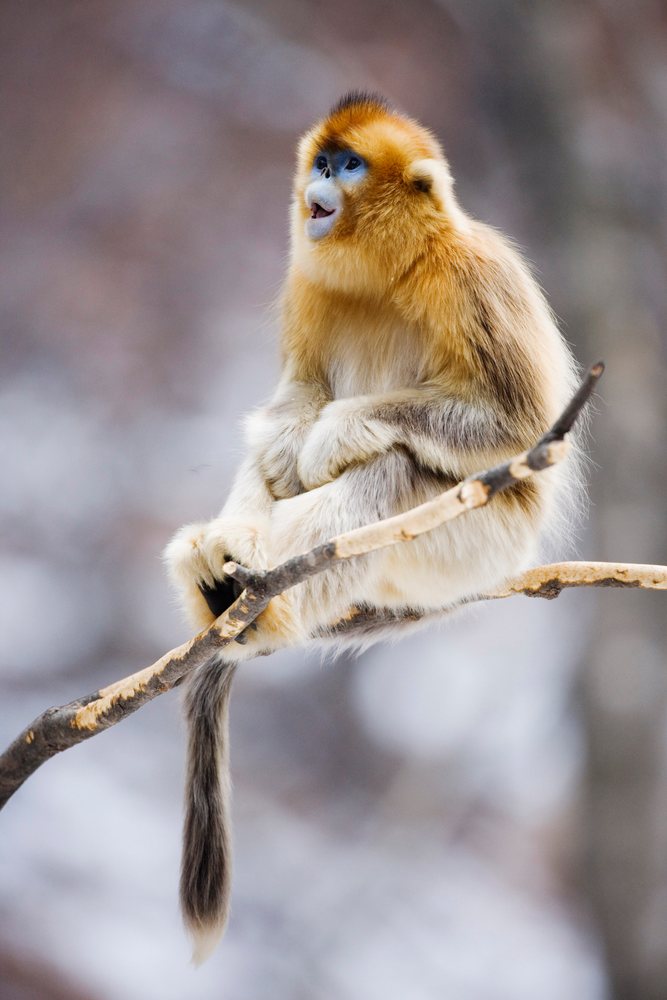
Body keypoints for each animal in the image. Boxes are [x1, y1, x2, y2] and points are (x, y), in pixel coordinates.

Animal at [164, 91, 580, 961]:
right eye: (321, 161)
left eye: (348, 165)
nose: (318, 182)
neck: (393, 271)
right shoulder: (305, 285)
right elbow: (288, 410)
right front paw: (293, 442)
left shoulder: (476, 280)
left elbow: (513, 426)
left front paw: (336, 434)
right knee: (271, 462)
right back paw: (222, 577)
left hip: (469, 545)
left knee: (390, 471)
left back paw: (266, 596)